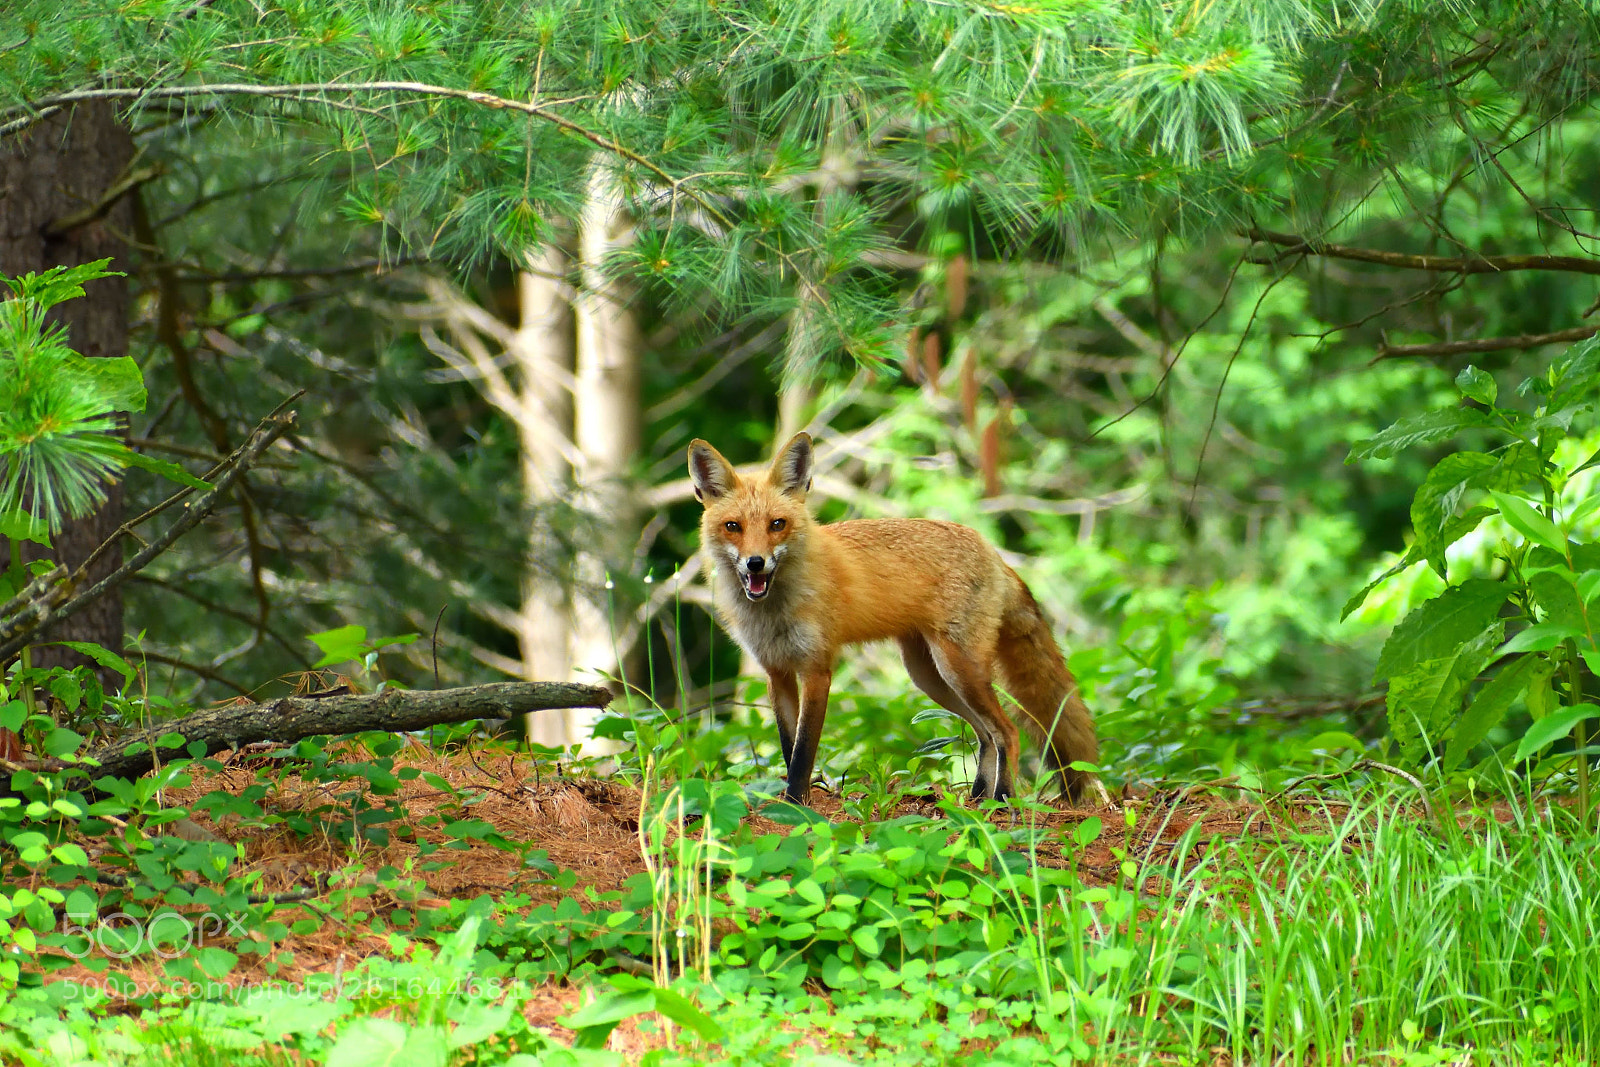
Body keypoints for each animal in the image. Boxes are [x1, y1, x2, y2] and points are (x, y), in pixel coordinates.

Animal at [688, 431, 1097, 806]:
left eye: (777, 524)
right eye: (733, 527)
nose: (755, 563)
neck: (772, 611)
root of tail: (993, 550)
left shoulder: (817, 670)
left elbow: (803, 753)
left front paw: (797, 807)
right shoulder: (777, 673)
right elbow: (788, 748)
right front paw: (791, 803)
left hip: (958, 669)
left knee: (1008, 732)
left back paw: (1002, 803)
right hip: (930, 676)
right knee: (986, 735)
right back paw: (978, 799)